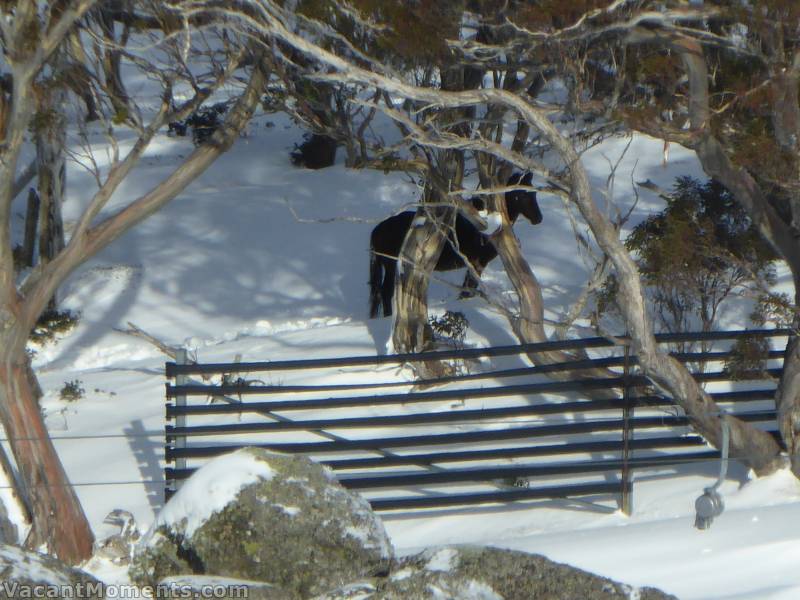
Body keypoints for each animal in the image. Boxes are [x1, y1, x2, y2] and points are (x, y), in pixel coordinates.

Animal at [370, 171, 544, 316]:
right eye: (522, 195)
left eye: (534, 193)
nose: (538, 218)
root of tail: (378, 230)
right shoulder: (477, 263)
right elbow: (468, 290)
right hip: (391, 264)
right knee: (385, 292)